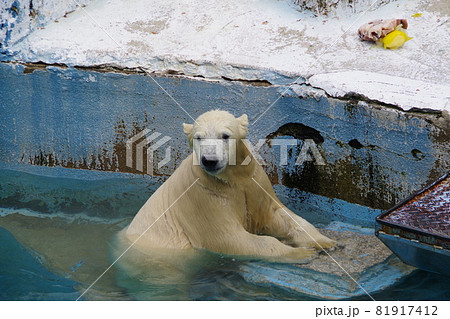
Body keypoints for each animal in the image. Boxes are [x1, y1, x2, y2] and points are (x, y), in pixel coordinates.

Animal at [121, 110, 336, 262]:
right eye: (198, 137)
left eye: (225, 135)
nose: (210, 160)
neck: (232, 178)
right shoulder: (204, 198)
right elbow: (230, 238)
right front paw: (302, 253)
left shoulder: (254, 183)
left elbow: (277, 216)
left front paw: (325, 242)